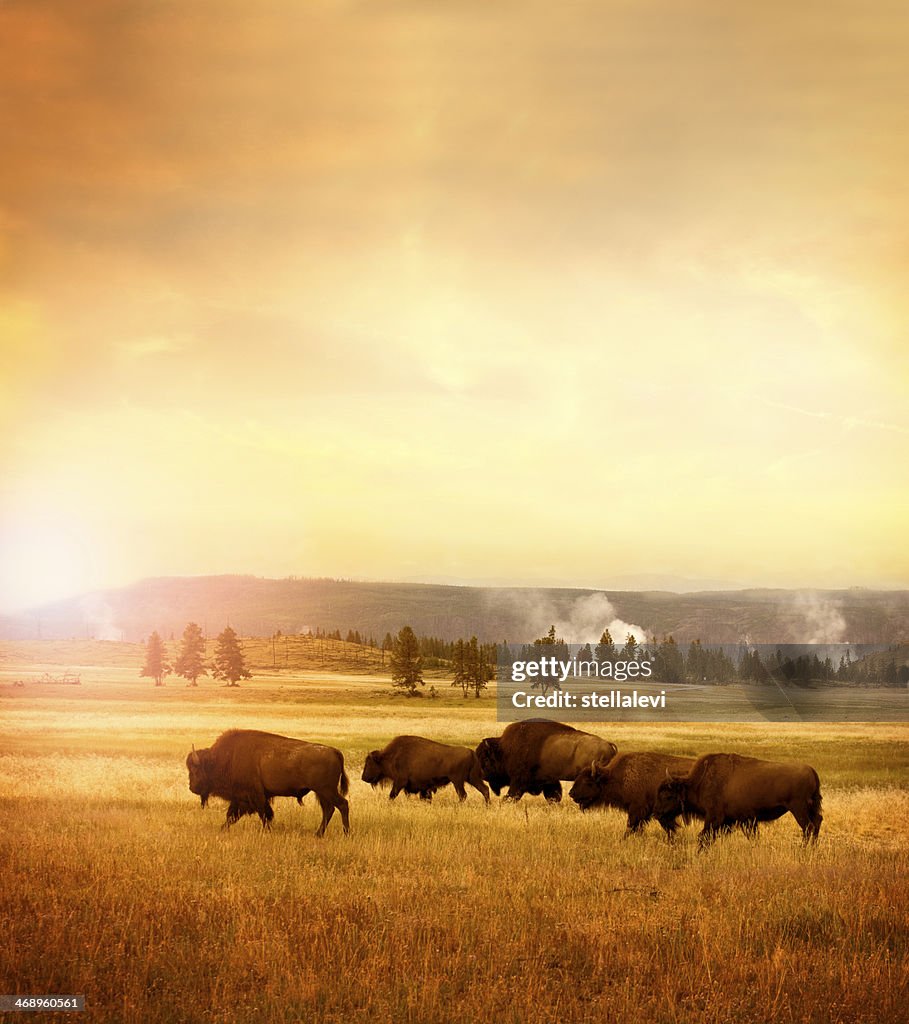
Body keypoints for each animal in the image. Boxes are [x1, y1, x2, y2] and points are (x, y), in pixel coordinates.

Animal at [186, 724, 350, 835]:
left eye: (195, 770)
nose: (192, 788)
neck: (225, 758)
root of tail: (334, 751)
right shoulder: (241, 798)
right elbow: (231, 816)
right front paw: (222, 829)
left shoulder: (254, 795)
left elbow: (264, 814)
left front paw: (267, 831)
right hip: (321, 793)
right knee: (328, 809)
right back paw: (319, 834)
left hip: (326, 790)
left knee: (342, 805)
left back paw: (346, 833)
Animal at [360, 741, 489, 802]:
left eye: (370, 763)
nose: (363, 777)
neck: (392, 756)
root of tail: (471, 752)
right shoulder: (423, 788)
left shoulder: (400, 782)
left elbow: (392, 795)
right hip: (472, 778)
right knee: (485, 789)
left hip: (457, 781)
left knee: (463, 795)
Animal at [474, 720, 618, 798]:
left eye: (485, 759)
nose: (482, 775)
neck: (504, 750)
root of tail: (608, 745)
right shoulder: (549, 781)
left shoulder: (518, 781)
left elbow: (511, 795)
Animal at [655, 753, 823, 847]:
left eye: (668, 795)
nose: (657, 814)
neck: (698, 783)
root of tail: (811, 771)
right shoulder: (741, 821)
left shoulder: (715, 818)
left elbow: (703, 837)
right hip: (810, 808)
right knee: (817, 822)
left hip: (798, 808)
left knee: (808, 827)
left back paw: (802, 849)